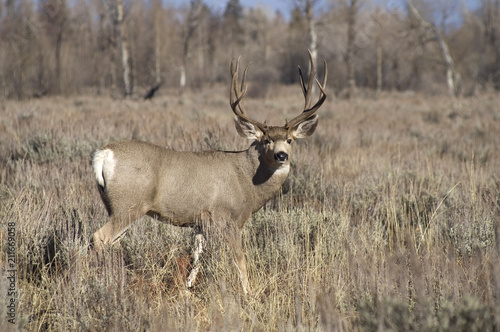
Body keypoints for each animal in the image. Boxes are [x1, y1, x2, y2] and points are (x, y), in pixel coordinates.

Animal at [93, 50, 328, 294]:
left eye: (290, 140)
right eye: (266, 140)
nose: (281, 155)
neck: (247, 181)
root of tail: (103, 154)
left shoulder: (201, 222)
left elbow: (196, 257)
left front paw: (186, 289)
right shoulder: (228, 218)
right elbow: (240, 260)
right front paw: (248, 294)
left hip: (114, 204)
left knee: (113, 241)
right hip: (129, 204)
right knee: (99, 237)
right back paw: (102, 282)